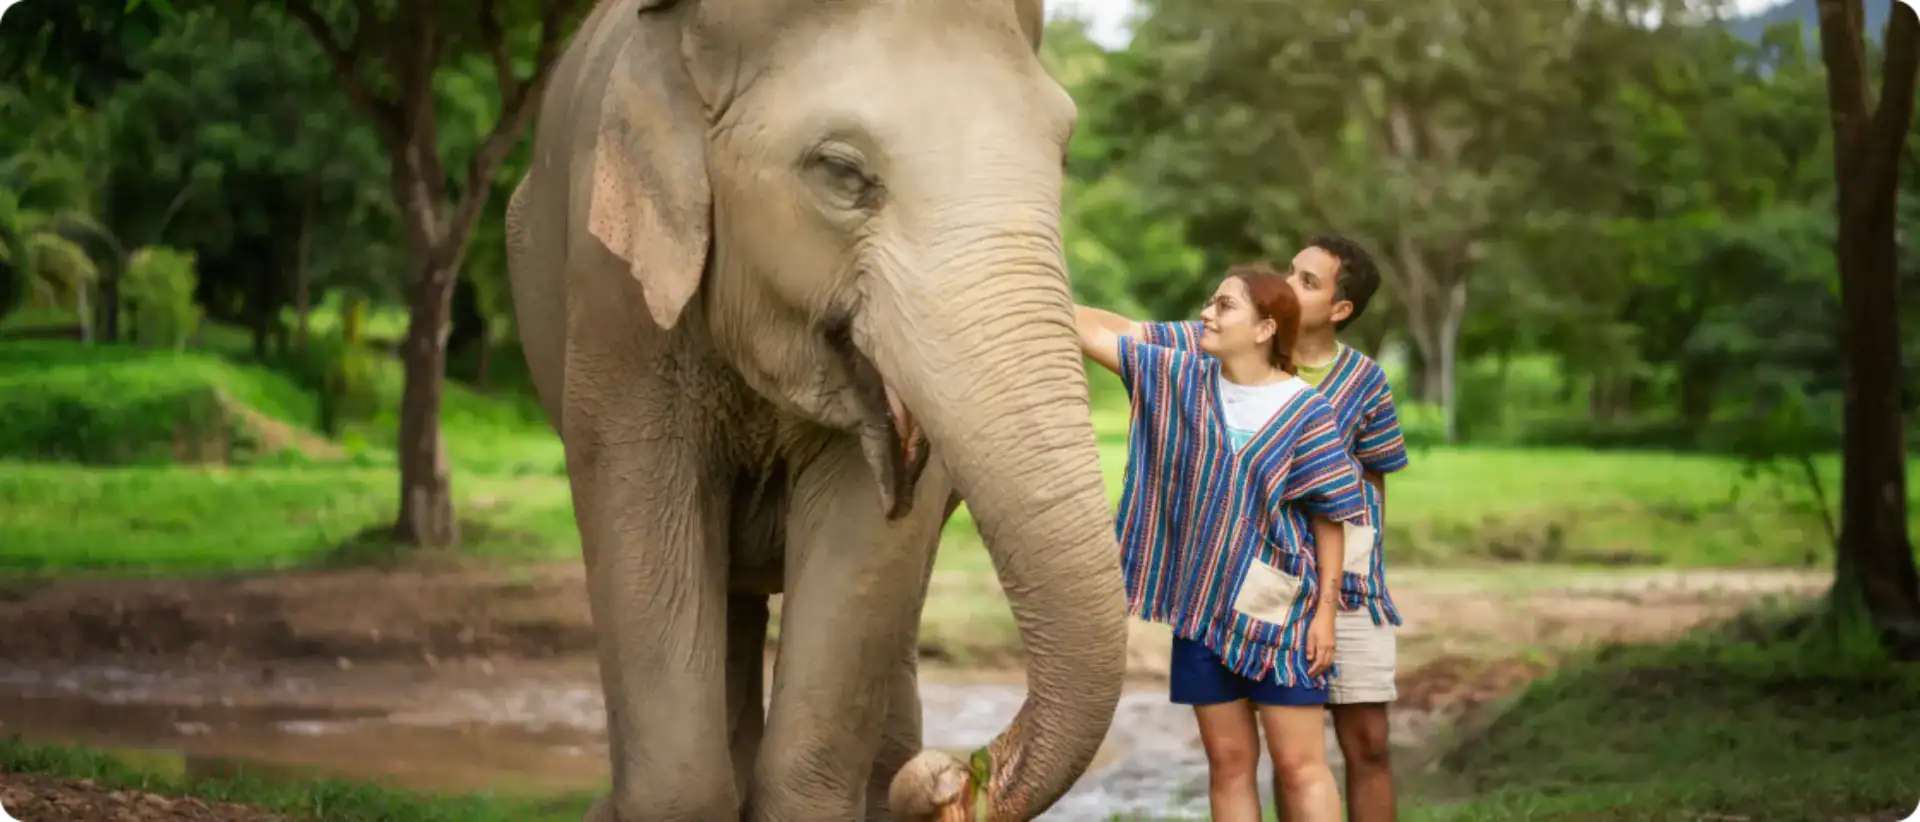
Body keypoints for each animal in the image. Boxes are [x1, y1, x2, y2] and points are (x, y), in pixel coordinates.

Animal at [502, 0, 1130, 819]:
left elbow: (865, 548)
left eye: (1061, 150)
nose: (954, 777)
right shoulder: (612, 292)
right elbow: (643, 507)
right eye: (840, 172)